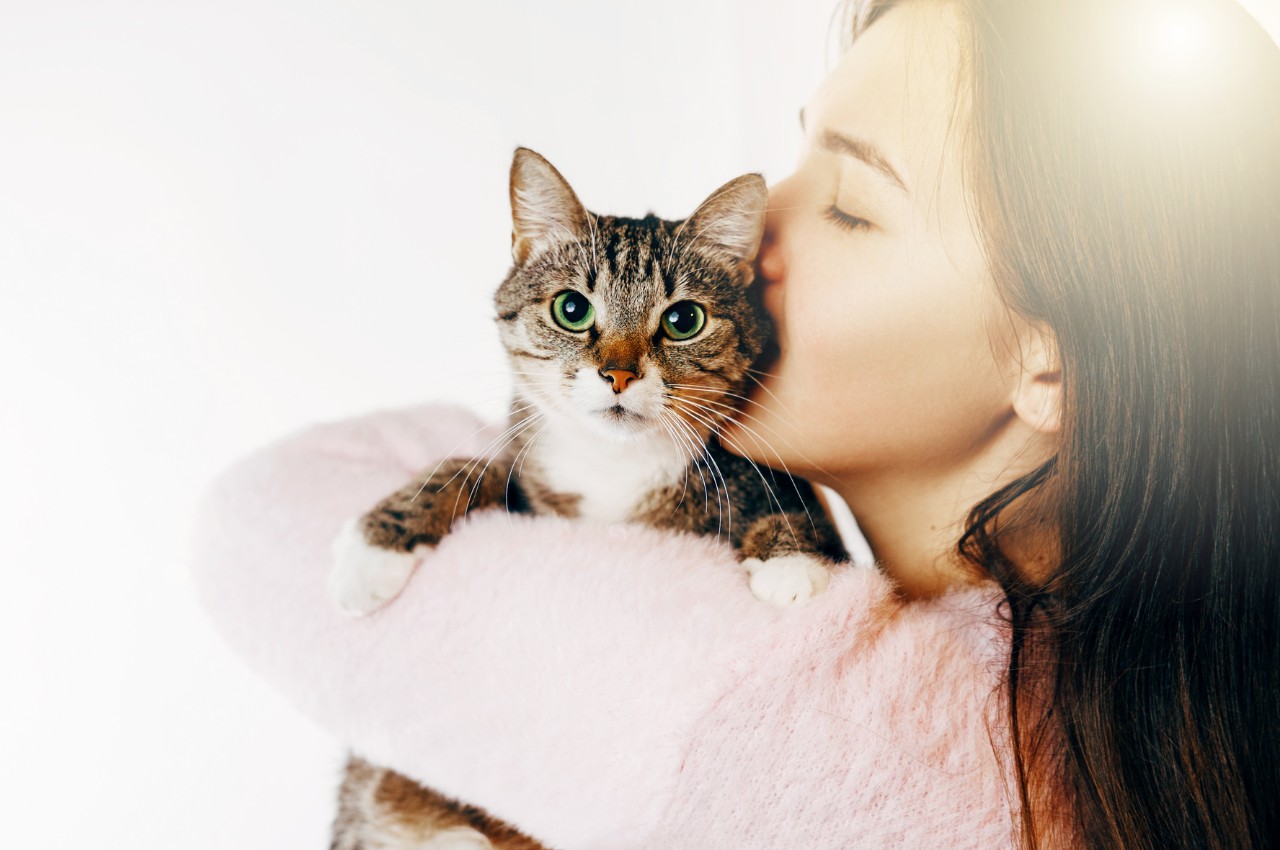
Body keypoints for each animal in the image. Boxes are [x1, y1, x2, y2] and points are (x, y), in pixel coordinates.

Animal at [327, 149, 849, 850]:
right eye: (571, 308)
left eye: (683, 320)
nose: (619, 373)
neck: (614, 466)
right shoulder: (524, 479)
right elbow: (467, 469)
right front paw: (372, 549)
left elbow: (797, 505)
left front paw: (789, 563)